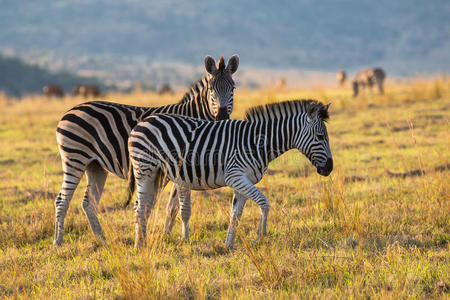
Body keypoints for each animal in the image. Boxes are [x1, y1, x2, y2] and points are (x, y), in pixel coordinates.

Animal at [52, 54, 239, 246]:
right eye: (211, 89)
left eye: (233, 88)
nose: (222, 116)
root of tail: (70, 110)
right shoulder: (181, 166)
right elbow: (182, 207)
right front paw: (182, 239)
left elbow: (171, 207)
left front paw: (166, 235)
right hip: (75, 158)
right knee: (62, 200)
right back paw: (58, 242)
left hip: (95, 165)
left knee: (89, 203)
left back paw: (102, 240)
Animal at [128, 99, 332, 250]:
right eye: (320, 137)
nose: (329, 168)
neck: (257, 143)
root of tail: (142, 122)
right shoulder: (235, 176)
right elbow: (264, 202)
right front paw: (260, 237)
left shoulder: (243, 181)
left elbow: (236, 214)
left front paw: (228, 245)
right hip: (144, 168)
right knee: (140, 207)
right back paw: (140, 246)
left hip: (156, 173)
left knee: (143, 206)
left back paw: (142, 241)